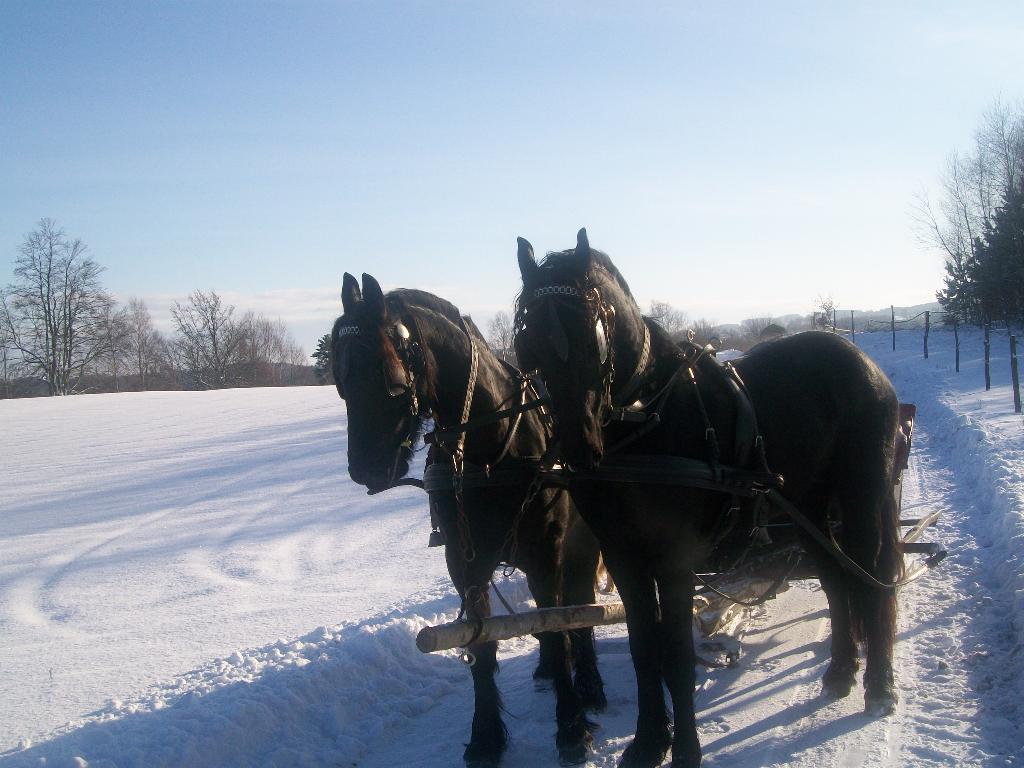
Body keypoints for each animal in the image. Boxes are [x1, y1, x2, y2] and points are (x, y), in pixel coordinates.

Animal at [327, 274, 602, 765]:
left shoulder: (546, 552)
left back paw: (587, 681)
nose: (365, 469)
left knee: (580, 606)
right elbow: (482, 644)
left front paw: (571, 726)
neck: (492, 448)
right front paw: (486, 735)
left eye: (391, 381)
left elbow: (557, 627)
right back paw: (549, 671)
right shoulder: (464, 561)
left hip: (581, 543)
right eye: (340, 380)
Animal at [516, 230, 901, 768]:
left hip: (863, 498)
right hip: (810, 507)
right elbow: (645, 649)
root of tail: (862, 362)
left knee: (873, 574)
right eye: (527, 344)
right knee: (834, 578)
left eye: (592, 334)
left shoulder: (674, 560)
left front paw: (684, 750)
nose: (578, 449)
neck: (644, 422)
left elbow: (676, 654)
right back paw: (841, 672)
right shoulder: (625, 557)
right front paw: (648, 742)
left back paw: (879, 685)